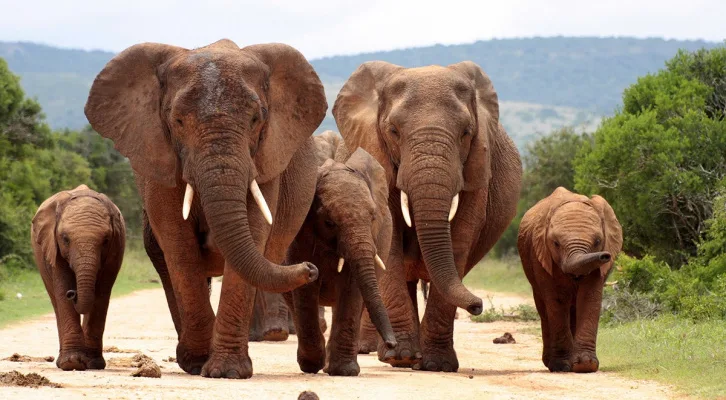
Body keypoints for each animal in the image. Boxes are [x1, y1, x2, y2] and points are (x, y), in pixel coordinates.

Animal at [30, 184, 125, 371]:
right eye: (65, 239)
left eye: (106, 240)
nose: (72, 293)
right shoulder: (53, 246)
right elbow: (62, 288)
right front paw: (72, 363)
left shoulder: (115, 248)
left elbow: (102, 293)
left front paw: (94, 364)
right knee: (55, 301)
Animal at [85, 39, 327, 378]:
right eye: (178, 122)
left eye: (256, 120)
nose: (311, 268)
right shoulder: (159, 158)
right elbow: (178, 244)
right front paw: (200, 363)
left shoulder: (265, 159)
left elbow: (254, 233)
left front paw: (227, 372)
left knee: (274, 264)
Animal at [284, 131, 396, 376]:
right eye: (329, 222)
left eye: (373, 217)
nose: (392, 344)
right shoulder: (299, 235)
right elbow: (305, 288)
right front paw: (312, 365)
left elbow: (352, 286)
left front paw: (344, 371)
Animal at [333, 61, 522, 372]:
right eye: (393, 131)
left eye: (466, 132)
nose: (478, 306)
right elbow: (391, 240)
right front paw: (402, 358)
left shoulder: (477, 169)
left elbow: (460, 239)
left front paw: (438, 365)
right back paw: (394, 354)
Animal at [517, 187, 623, 373]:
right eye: (556, 243)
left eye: (598, 241)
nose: (605, 256)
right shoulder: (541, 255)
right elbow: (556, 301)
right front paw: (562, 366)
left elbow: (589, 298)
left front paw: (585, 365)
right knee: (545, 308)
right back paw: (551, 363)